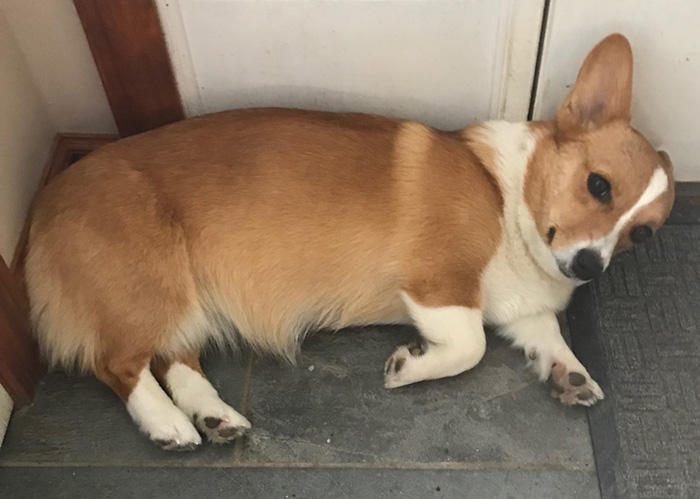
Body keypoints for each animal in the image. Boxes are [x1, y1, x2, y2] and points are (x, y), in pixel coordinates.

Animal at [24, 33, 676, 452]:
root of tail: (45, 203)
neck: (508, 195)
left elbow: (548, 337)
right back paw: (168, 425)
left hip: (185, 307)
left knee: (173, 358)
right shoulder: (439, 283)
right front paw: (407, 367)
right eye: (598, 184)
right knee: (119, 363)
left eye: (643, 234)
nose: (589, 266)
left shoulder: (521, 309)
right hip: (156, 286)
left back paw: (214, 417)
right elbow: (470, 346)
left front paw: (572, 375)